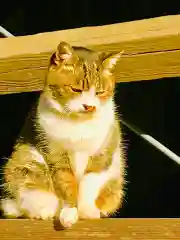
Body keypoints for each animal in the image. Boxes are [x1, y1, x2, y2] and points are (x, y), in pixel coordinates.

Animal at [0, 41, 126, 229]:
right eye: (76, 89)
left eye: (100, 92)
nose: (89, 106)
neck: (78, 124)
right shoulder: (56, 156)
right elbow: (67, 185)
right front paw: (69, 213)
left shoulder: (103, 154)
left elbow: (89, 182)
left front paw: (87, 211)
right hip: (25, 165)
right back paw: (45, 212)